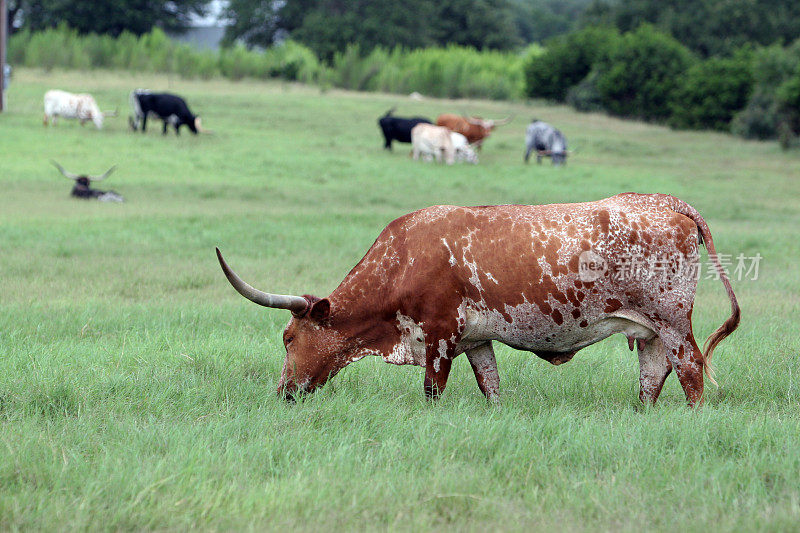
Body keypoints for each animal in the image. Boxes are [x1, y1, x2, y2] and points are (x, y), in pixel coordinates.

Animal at [217, 193, 736, 406]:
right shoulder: (476, 341)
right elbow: (492, 388)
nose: (284, 393)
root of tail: (666, 202)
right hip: (648, 330)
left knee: (690, 371)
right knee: (651, 377)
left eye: (288, 338)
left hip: (672, 321)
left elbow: (432, 391)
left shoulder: (439, 337)